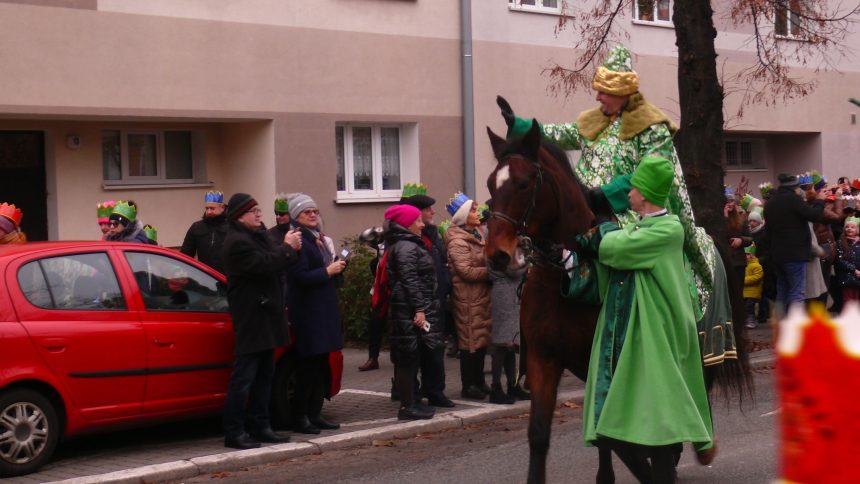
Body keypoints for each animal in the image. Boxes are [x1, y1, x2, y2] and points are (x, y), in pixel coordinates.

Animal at [488, 118, 748, 484]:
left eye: (524, 183)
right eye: (490, 184)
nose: (497, 255)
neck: (564, 282)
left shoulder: (607, 356)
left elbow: (612, 434)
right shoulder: (544, 359)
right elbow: (542, 434)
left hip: (705, 346)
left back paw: (695, 447)